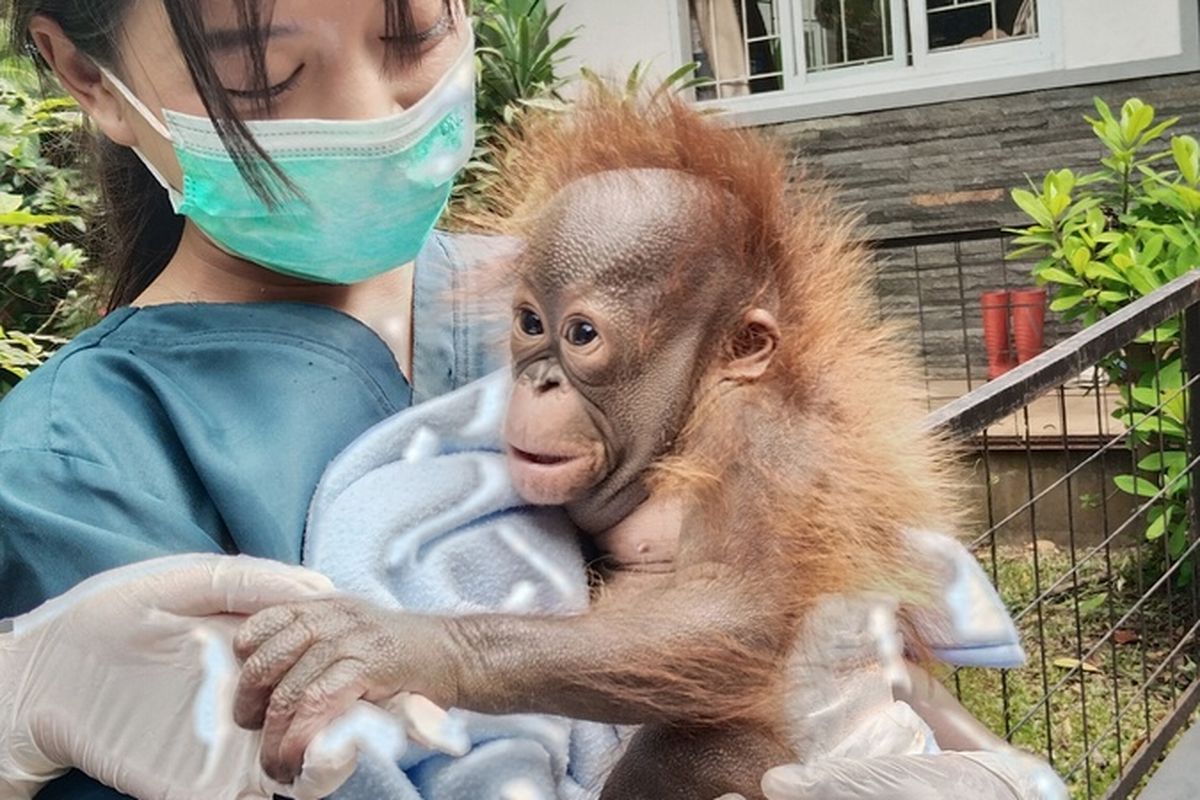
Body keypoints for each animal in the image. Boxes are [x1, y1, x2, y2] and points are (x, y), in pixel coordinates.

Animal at [230, 91, 961, 800]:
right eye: (530, 323)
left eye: (581, 334)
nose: (540, 382)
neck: (688, 423)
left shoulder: (767, 442)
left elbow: (732, 613)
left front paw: (412, 647)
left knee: (699, 747)